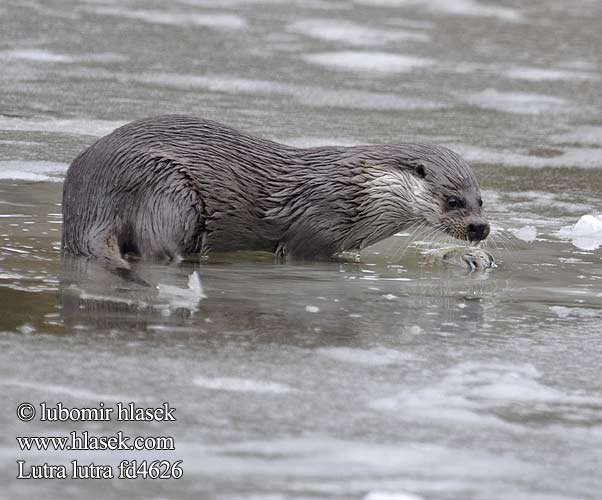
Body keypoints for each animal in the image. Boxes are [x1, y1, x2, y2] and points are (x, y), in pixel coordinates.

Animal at [61, 115, 488, 270]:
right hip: (167, 188)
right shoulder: (317, 228)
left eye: (480, 199)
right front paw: (457, 257)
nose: (480, 228)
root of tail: (86, 200)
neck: (357, 191)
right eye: (453, 200)